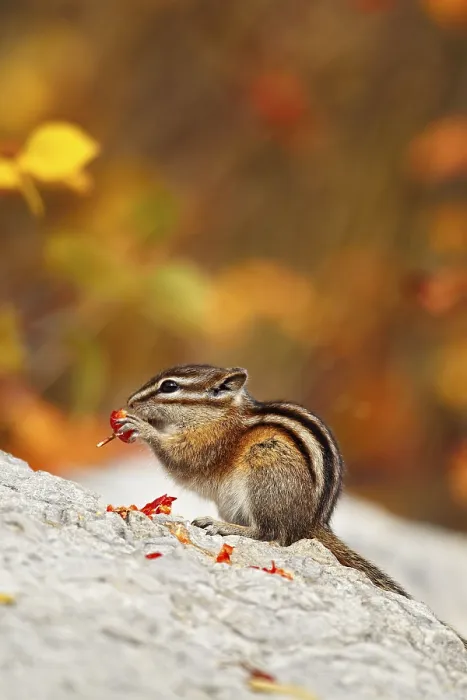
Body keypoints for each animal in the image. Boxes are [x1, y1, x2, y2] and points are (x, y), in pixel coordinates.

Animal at [116, 363, 467, 649]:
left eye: (169, 387)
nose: (130, 401)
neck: (221, 415)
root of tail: (312, 522)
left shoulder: (207, 444)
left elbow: (181, 460)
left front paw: (141, 427)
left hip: (265, 468)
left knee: (271, 533)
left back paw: (222, 525)